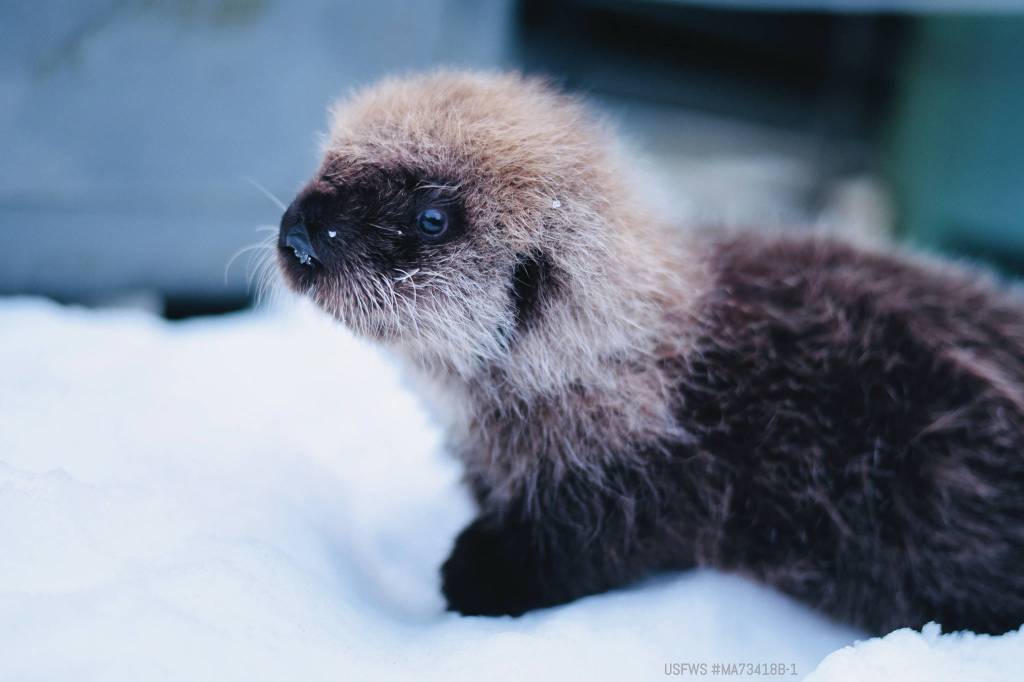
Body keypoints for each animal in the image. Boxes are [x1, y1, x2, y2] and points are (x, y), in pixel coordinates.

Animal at [276, 71, 1024, 635]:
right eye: (329, 158)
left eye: (430, 219)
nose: (299, 231)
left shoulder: (646, 472)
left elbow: (588, 540)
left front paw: (472, 572)